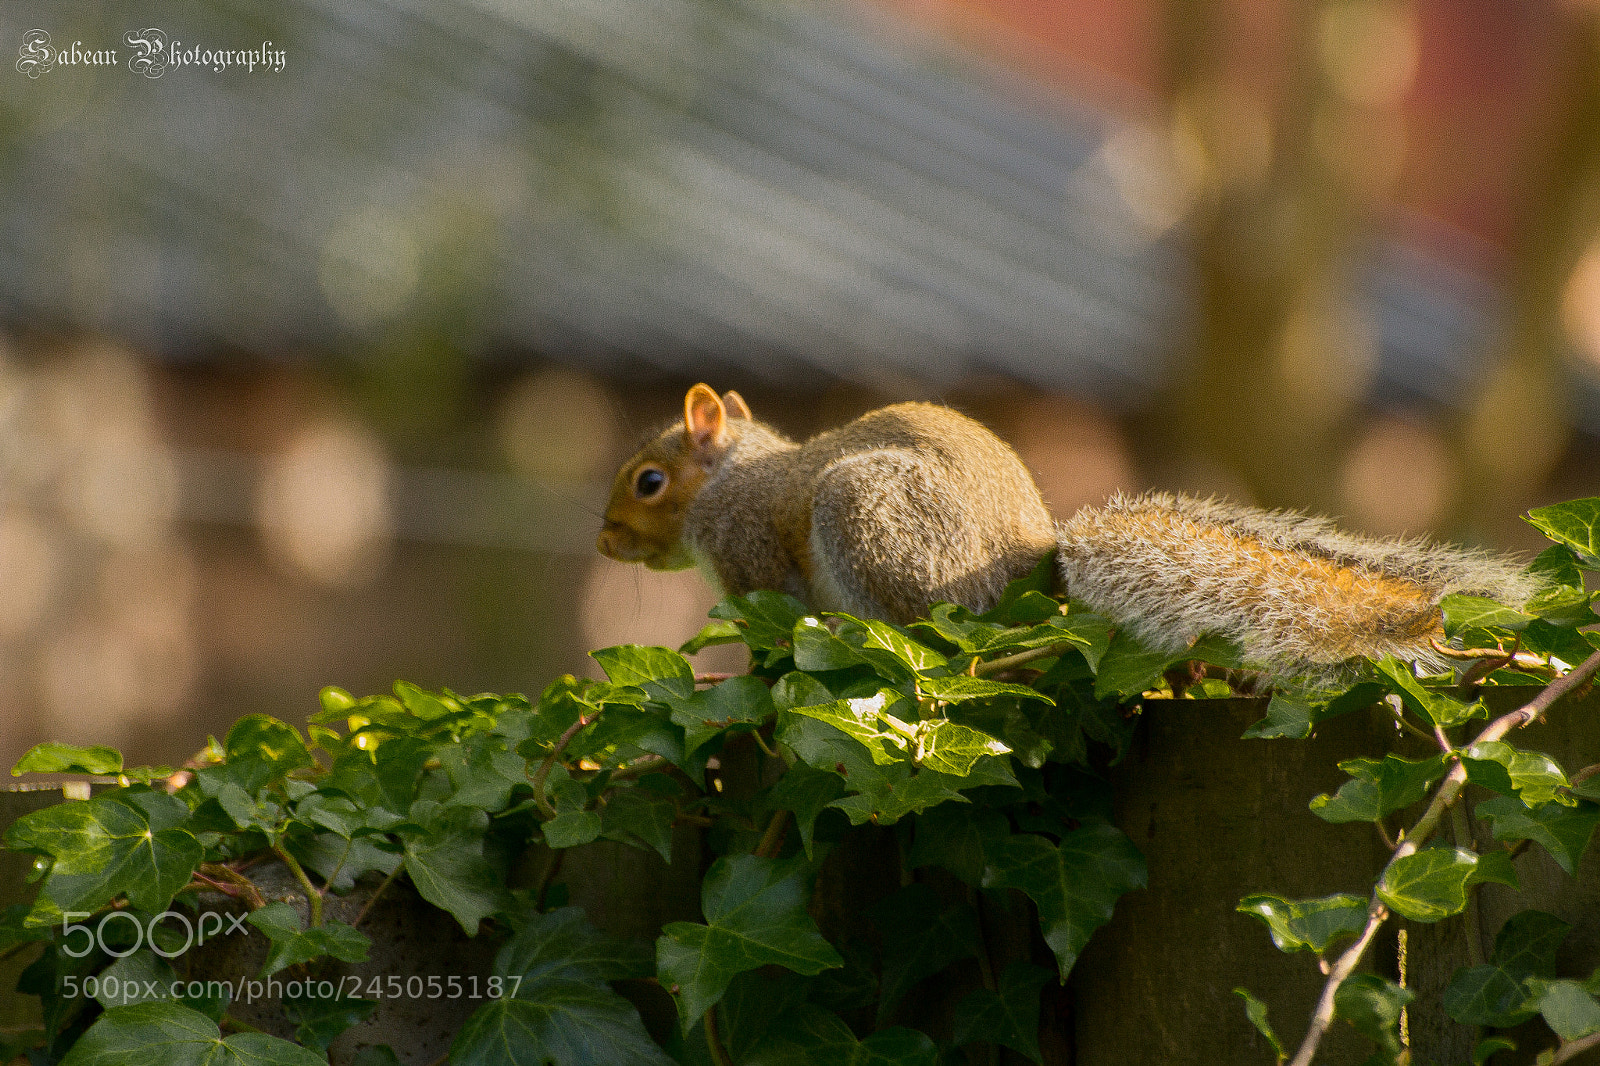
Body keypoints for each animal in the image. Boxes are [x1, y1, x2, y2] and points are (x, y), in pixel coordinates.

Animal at [597, 384, 1545, 681]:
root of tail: (1033, 580)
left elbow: (772, 617)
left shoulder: (750, 551)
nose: (604, 545)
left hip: (867, 522)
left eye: (648, 481)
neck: (731, 477)